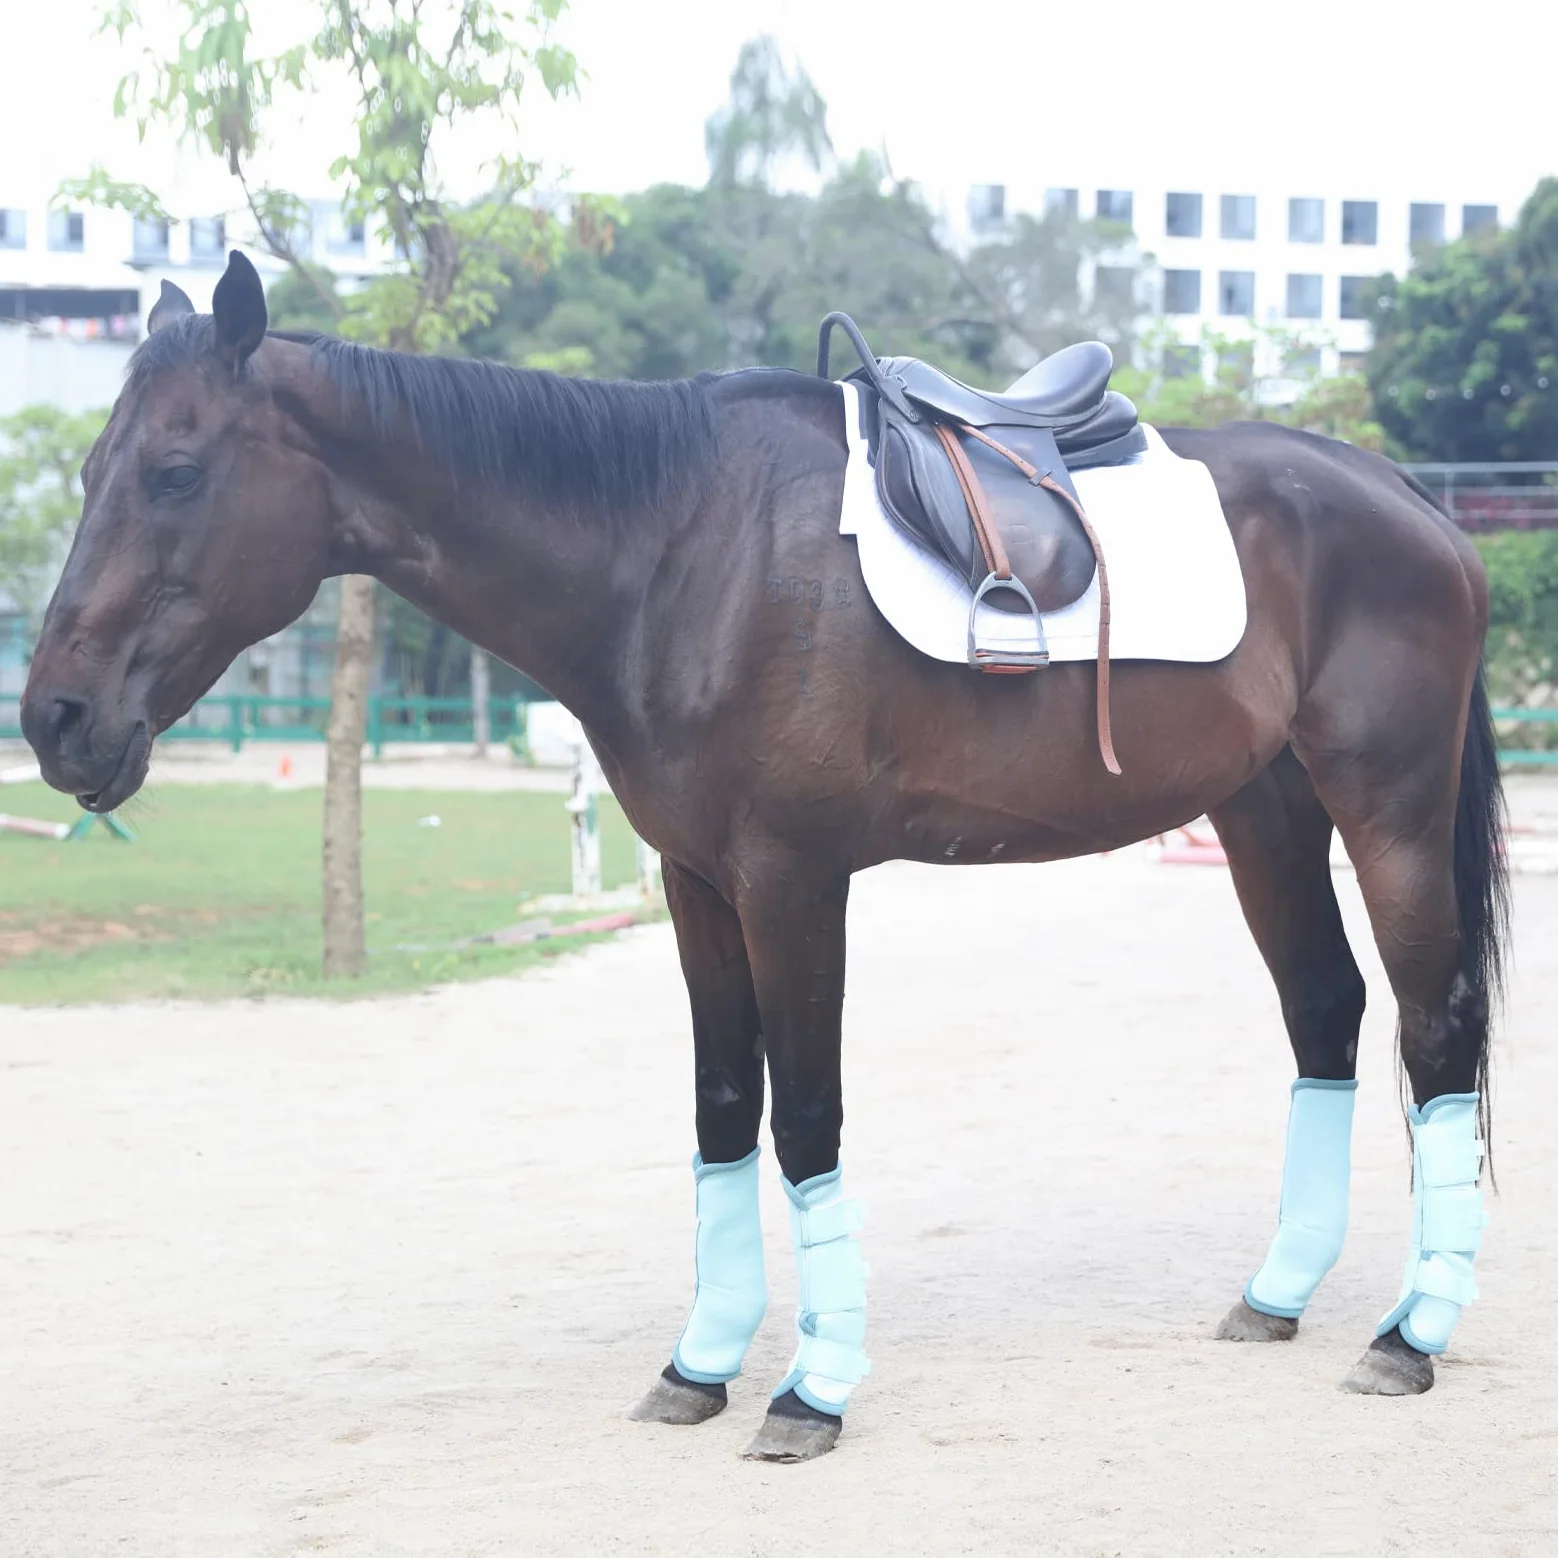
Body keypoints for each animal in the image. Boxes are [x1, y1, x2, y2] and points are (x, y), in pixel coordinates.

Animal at [22, 251, 1508, 1462]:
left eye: (175, 472)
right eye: (89, 474)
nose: (55, 720)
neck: (675, 550)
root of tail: (1406, 499)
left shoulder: (794, 879)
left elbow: (805, 1118)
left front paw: (811, 1388)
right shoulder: (696, 882)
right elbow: (723, 1110)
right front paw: (700, 1365)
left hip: (1383, 810)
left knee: (1433, 1028)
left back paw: (1409, 1333)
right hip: (1266, 815)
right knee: (1324, 1013)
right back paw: (1278, 1295)